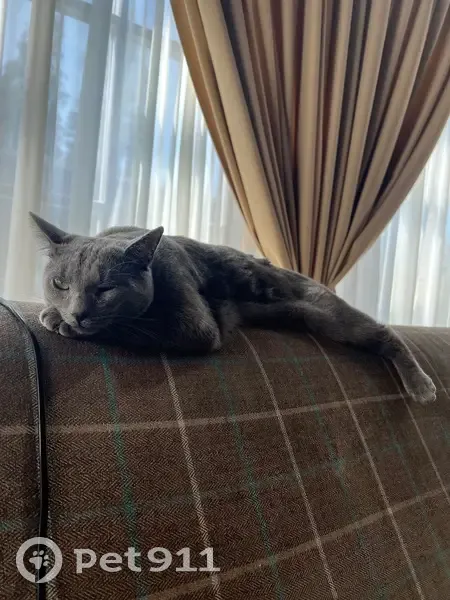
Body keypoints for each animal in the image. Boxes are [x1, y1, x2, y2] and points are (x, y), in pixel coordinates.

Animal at [30, 212, 436, 404]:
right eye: (60, 284)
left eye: (105, 288)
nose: (76, 313)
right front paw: (54, 313)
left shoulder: (193, 324)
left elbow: (133, 325)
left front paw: (56, 320)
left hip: (331, 315)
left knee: (385, 331)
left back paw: (422, 386)